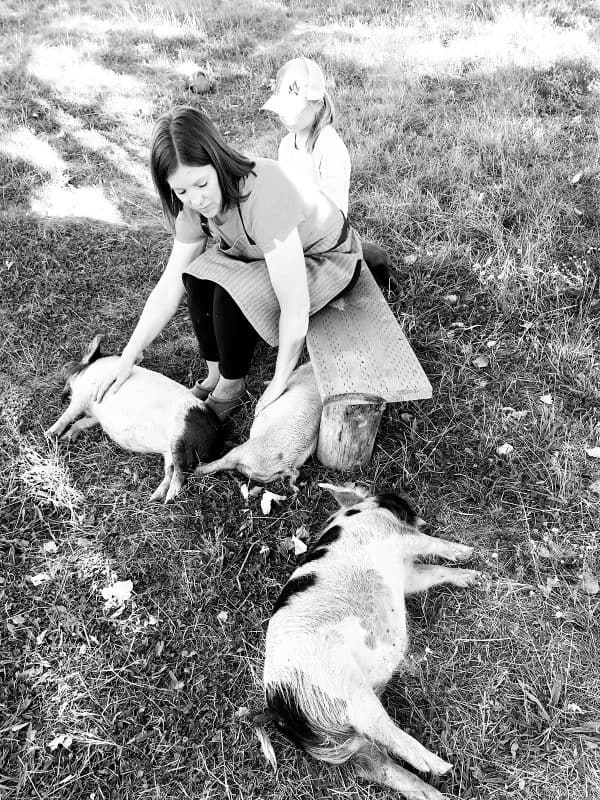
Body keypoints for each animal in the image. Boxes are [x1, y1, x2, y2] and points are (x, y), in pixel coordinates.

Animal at [255, 484, 480, 796]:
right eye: (396, 501)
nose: (408, 504)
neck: (362, 512)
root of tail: (278, 708)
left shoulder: (407, 575)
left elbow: (431, 572)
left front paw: (473, 577)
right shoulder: (391, 533)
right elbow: (427, 542)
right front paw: (469, 552)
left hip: (340, 734)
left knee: (372, 765)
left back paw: (434, 793)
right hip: (345, 689)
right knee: (382, 732)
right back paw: (441, 766)